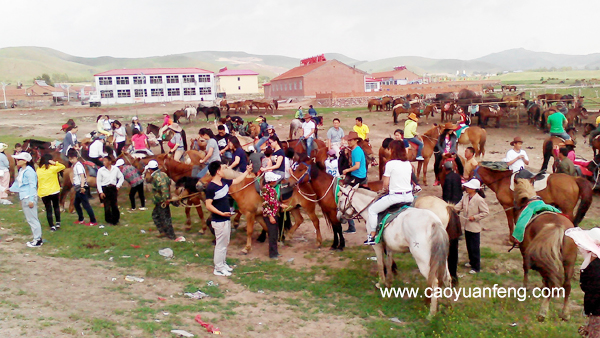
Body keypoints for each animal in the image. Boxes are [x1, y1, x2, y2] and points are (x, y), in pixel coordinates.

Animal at [338, 185, 450, 316]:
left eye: (340, 200)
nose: (339, 218)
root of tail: (434, 223)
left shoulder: (377, 245)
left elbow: (380, 264)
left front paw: (381, 283)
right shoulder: (389, 246)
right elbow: (389, 262)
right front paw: (389, 282)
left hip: (424, 262)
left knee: (434, 283)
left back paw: (431, 314)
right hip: (441, 257)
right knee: (447, 278)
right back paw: (447, 304)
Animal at [510, 178, 576, 320]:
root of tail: (558, 226)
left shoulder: (525, 250)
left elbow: (525, 268)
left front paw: (525, 286)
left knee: (549, 284)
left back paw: (543, 312)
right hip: (569, 261)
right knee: (567, 285)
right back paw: (565, 313)